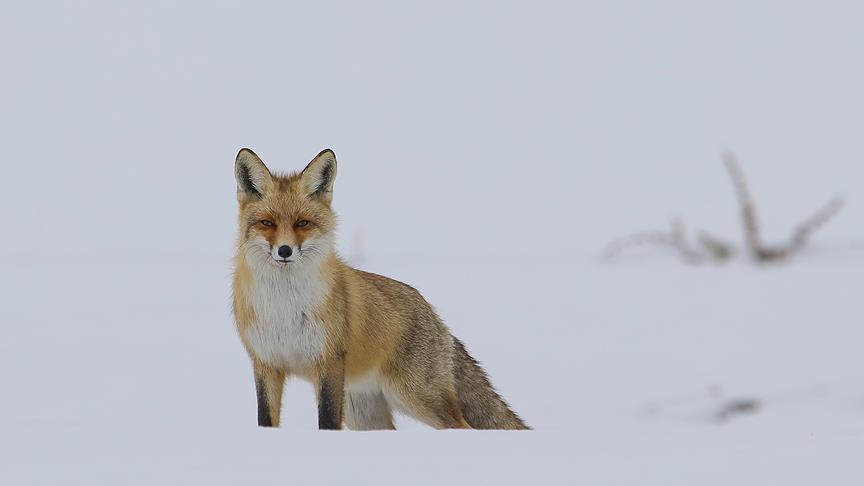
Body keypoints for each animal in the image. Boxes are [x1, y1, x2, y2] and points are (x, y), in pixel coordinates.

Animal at [231, 148, 528, 430]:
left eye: (302, 223)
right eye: (267, 223)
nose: (284, 251)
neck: (284, 308)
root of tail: (435, 316)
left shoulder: (328, 362)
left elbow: (327, 421)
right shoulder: (265, 363)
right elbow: (266, 419)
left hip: (415, 396)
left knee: (462, 425)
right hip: (364, 415)